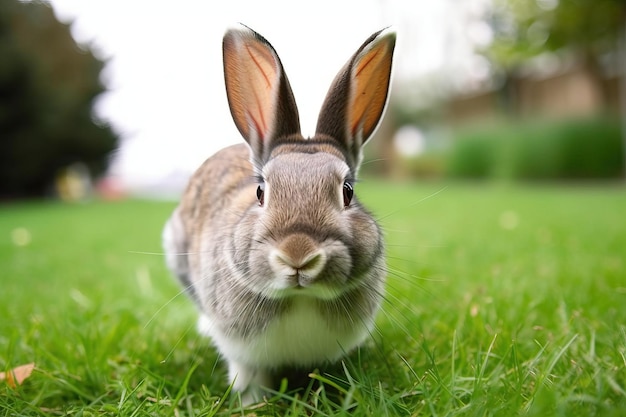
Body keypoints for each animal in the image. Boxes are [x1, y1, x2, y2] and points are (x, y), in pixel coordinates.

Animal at [162, 23, 394, 404]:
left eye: (347, 192)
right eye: (261, 192)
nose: (298, 255)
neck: (301, 299)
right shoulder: (243, 354)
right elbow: (249, 378)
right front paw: (252, 403)